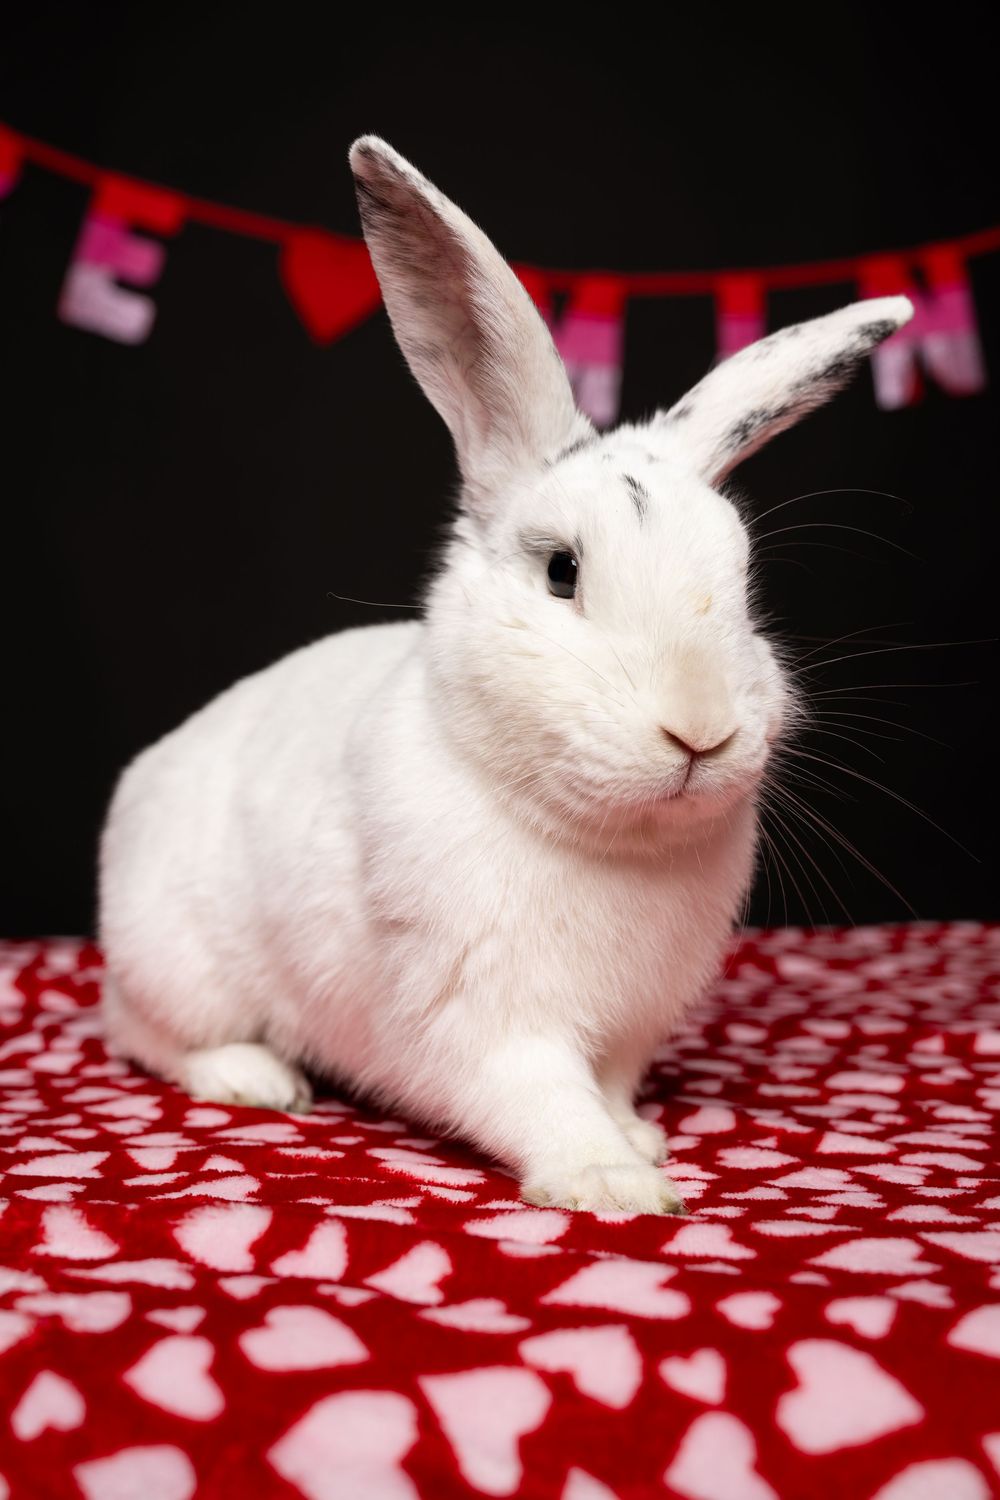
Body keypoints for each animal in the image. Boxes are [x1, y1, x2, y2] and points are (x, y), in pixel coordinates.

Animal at [99, 136, 913, 1214]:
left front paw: (638, 1138)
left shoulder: (630, 1028)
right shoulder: (481, 1016)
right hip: (180, 964)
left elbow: (608, 1084)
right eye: (562, 571)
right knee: (145, 1034)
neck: (603, 843)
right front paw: (615, 1182)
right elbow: (538, 1095)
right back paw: (257, 1079)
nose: (700, 729)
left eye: (741, 581)